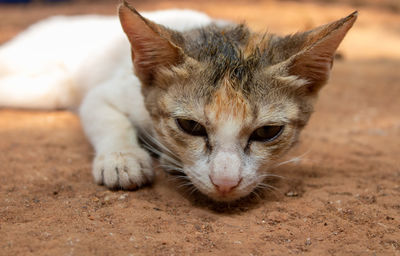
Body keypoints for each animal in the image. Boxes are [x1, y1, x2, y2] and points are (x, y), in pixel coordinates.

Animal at [0, 1, 356, 202]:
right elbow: (107, 117)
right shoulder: (104, 93)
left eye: (267, 132)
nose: (225, 183)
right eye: (189, 126)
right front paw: (122, 159)